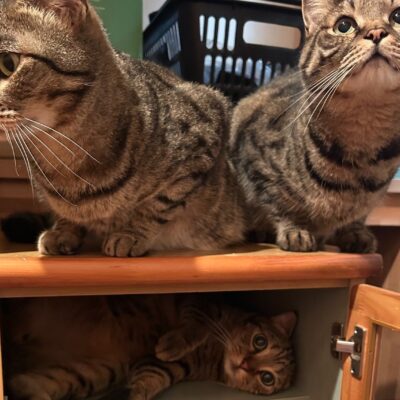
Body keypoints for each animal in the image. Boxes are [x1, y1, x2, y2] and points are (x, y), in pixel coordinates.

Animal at [0, 0, 246, 257]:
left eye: (7, 63)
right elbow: (64, 211)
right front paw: (63, 231)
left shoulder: (204, 135)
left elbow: (159, 204)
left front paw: (130, 234)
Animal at [2, 295, 297, 400]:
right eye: (260, 342)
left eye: (267, 378)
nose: (245, 364)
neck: (214, 352)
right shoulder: (199, 301)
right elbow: (196, 321)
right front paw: (173, 342)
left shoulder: (157, 365)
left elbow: (149, 379)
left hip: (98, 370)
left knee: (27, 382)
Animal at [229, 0, 400, 253]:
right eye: (344, 25)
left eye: (397, 16)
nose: (376, 32)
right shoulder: (255, 162)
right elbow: (279, 204)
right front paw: (296, 231)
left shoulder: (373, 199)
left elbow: (359, 215)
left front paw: (355, 233)